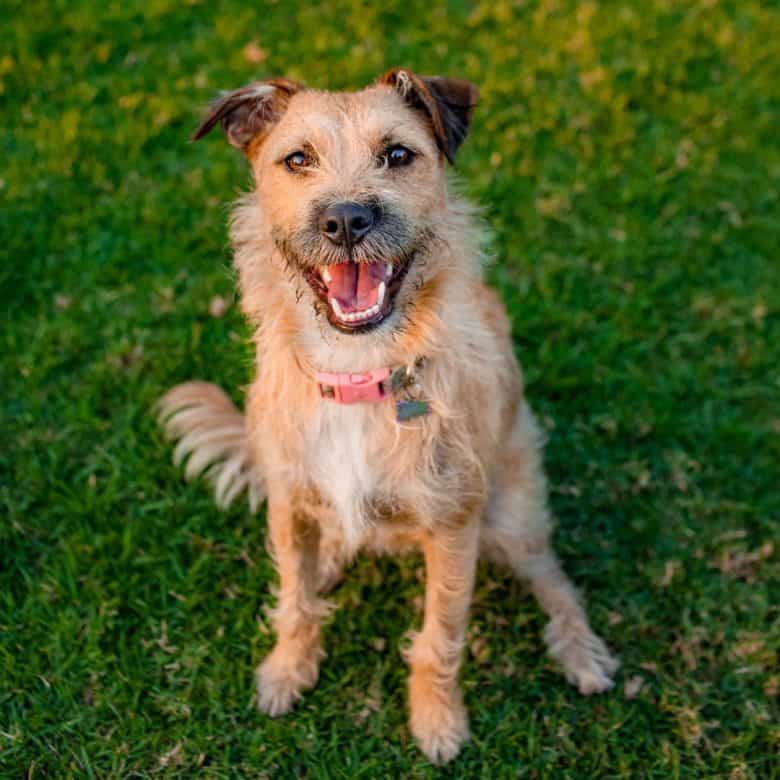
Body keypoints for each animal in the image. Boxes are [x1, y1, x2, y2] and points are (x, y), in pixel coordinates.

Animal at [158, 70, 620, 764]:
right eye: (297, 160)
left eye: (398, 154)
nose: (346, 219)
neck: (360, 370)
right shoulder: (288, 502)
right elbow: (294, 601)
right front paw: (288, 670)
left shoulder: (454, 527)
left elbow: (440, 635)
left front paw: (437, 719)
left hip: (510, 516)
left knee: (554, 576)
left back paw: (580, 651)